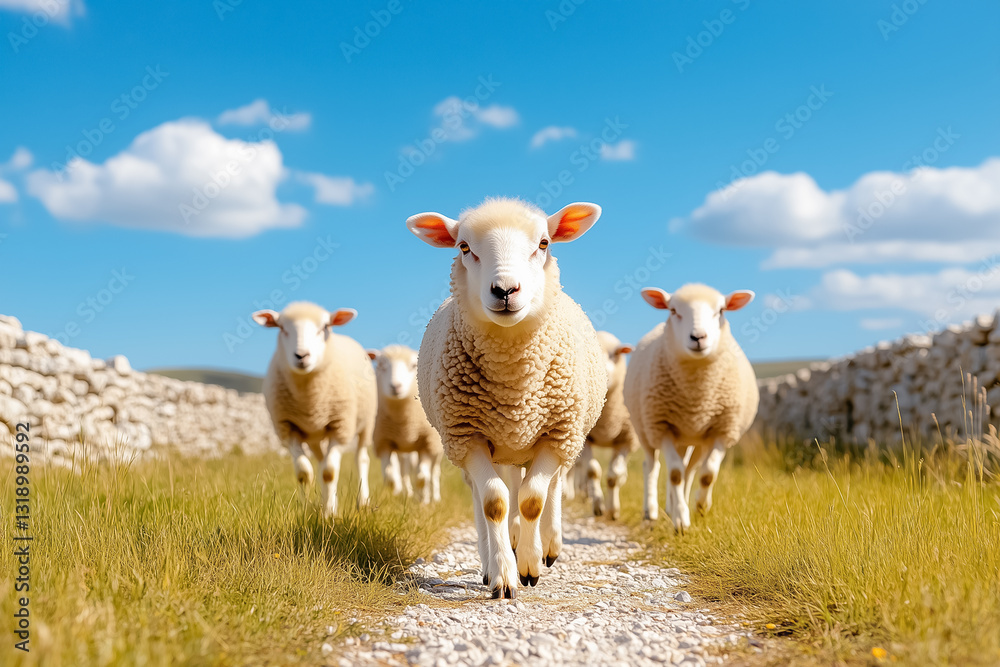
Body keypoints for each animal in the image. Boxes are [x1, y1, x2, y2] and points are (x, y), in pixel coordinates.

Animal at [252, 301, 376, 517]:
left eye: (324, 327)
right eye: (282, 328)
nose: (301, 355)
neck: (309, 399)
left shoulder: (340, 426)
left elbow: (330, 472)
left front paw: (329, 514)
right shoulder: (288, 428)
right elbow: (304, 473)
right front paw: (308, 509)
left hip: (366, 424)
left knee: (361, 459)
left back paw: (362, 502)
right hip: (314, 437)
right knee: (320, 462)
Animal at [366, 344, 444, 504]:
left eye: (413, 365)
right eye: (381, 365)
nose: (395, 386)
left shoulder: (427, 442)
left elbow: (422, 478)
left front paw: (424, 502)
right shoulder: (384, 441)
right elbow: (390, 477)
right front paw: (397, 494)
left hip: (436, 449)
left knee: (433, 473)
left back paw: (434, 498)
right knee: (404, 471)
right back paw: (408, 493)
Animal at [407, 197, 606, 599]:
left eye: (544, 244)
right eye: (464, 247)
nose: (504, 290)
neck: (514, 384)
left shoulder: (557, 434)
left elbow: (532, 500)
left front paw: (530, 564)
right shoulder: (467, 436)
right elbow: (494, 502)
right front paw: (503, 575)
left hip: (562, 441)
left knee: (551, 487)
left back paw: (549, 545)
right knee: (491, 494)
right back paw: (493, 559)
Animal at [573, 330, 637, 521]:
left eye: (615, 354)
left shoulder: (626, 440)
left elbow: (613, 476)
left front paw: (613, 510)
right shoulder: (586, 438)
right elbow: (592, 471)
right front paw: (598, 507)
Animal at [623, 283, 758, 533]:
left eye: (721, 311)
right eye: (673, 310)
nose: (698, 337)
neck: (696, 400)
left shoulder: (722, 430)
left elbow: (707, 474)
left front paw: (700, 507)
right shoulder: (662, 426)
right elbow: (675, 473)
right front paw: (681, 521)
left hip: (693, 440)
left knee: (690, 469)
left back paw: (676, 504)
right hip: (646, 430)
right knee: (652, 466)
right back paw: (652, 511)